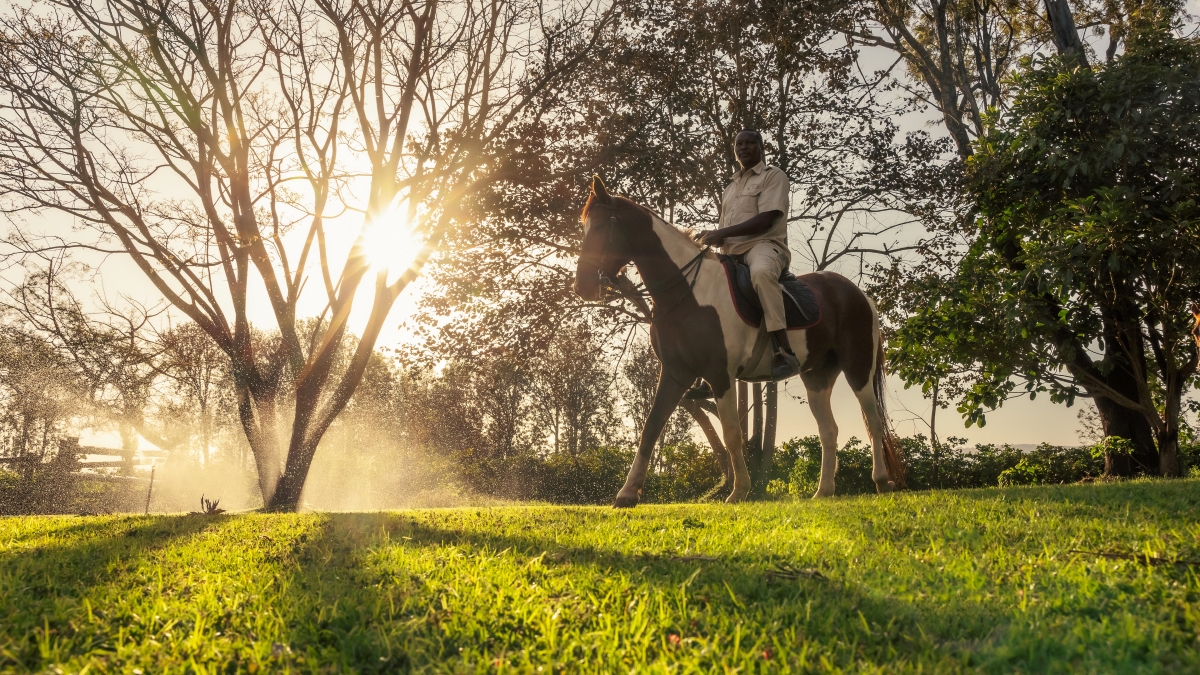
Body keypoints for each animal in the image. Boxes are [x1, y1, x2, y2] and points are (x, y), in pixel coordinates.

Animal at [571, 174, 902, 504]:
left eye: (600, 228)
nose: (582, 287)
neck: (687, 291)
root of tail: (857, 294)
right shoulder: (675, 374)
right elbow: (650, 427)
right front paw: (627, 493)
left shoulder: (721, 375)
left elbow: (732, 433)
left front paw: (739, 490)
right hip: (817, 376)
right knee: (829, 430)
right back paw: (823, 491)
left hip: (857, 367)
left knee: (873, 421)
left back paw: (881, 481)